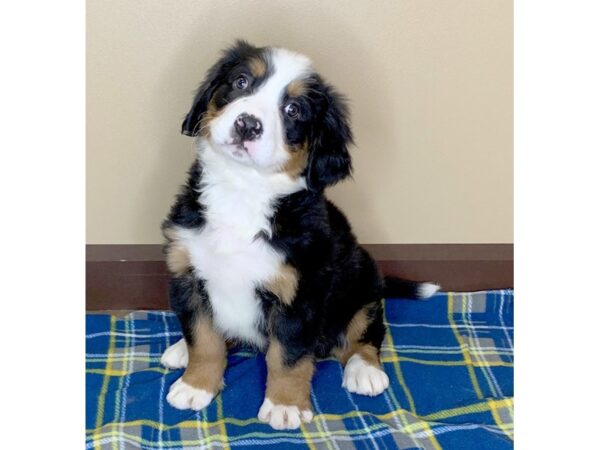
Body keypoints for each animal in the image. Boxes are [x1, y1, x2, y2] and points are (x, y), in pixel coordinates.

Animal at [161, 41, 440, 428]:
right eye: (241, 81)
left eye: (293, 110)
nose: (247, 124)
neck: (243, 191)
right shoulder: (187, 275)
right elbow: (203, 339)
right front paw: (196, 385)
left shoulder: (300, 294)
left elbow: (288, 356)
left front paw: (284, 404)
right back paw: (180, 350)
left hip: (362, 280)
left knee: (366, 330)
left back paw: (365, 371)